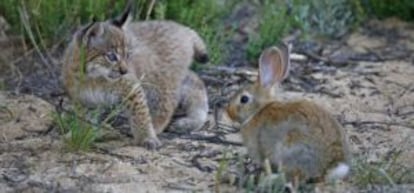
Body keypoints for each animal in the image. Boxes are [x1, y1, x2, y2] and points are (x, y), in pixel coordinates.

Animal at [225, 43, 350, 187]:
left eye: (244, 99)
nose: (228, 112)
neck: (258, 110)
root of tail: (331, 165)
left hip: (292, 150)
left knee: (294, 176)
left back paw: (269, 180)